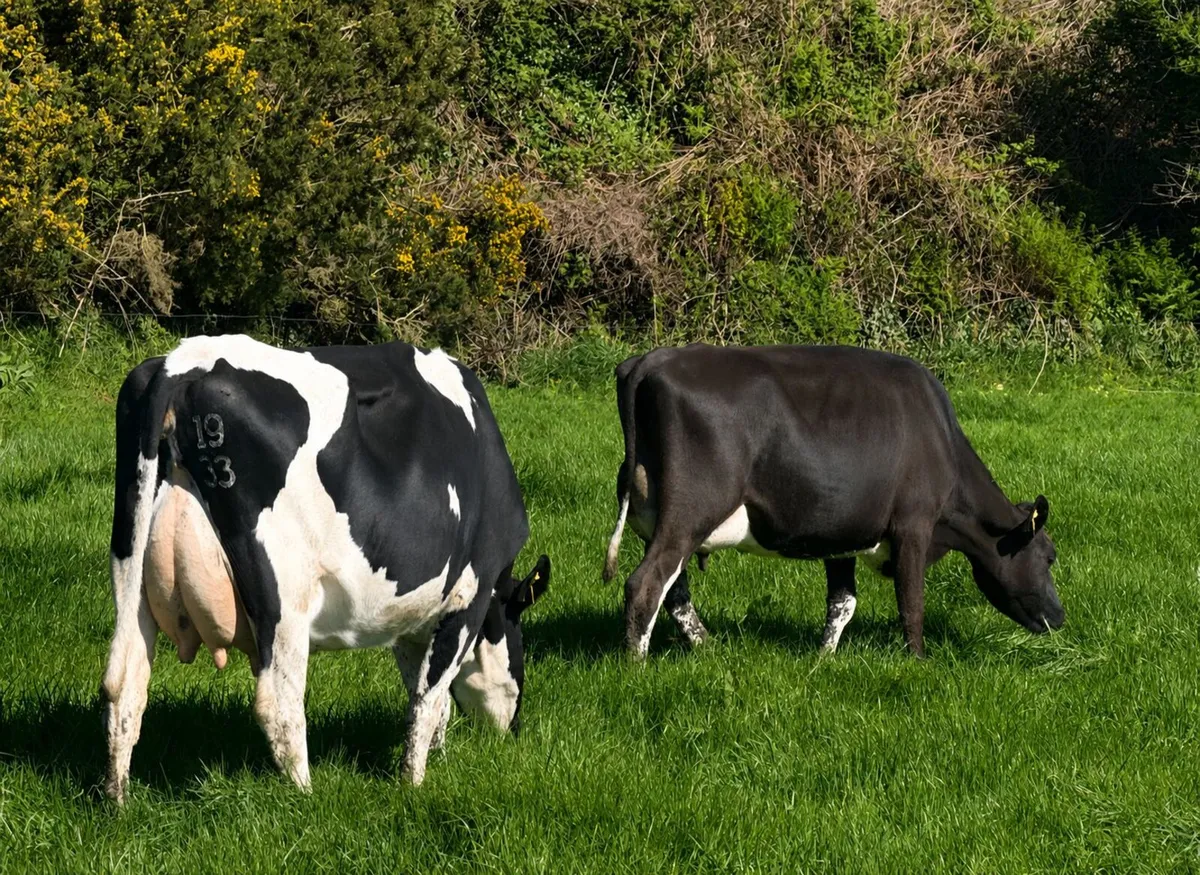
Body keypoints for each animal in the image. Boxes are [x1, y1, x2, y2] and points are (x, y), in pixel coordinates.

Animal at [103, 334, 550, 803]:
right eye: (519, 632)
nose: (514, 728)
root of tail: (183, 362)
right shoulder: (470, 594)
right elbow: (430, 695)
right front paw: (413, 783)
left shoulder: (411, 618)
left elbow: (424, 691)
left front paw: (434, 755)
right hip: (283, 595)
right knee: (278, 701)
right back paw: (305, 795)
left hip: (129, 563)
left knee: (123, 681)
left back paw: (118, 799)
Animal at [602, 343, 1063, 660]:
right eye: (1049, 556)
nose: (1060, 617)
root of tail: (651, 360)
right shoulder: (914, 524)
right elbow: (911, 601)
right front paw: (918, 660)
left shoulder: (843, 531)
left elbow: (843, 602)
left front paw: (824, 657)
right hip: (691, 511)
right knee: (646, 584)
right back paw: (636, 665)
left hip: (656, 519)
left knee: (674, 591)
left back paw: (709, 647)